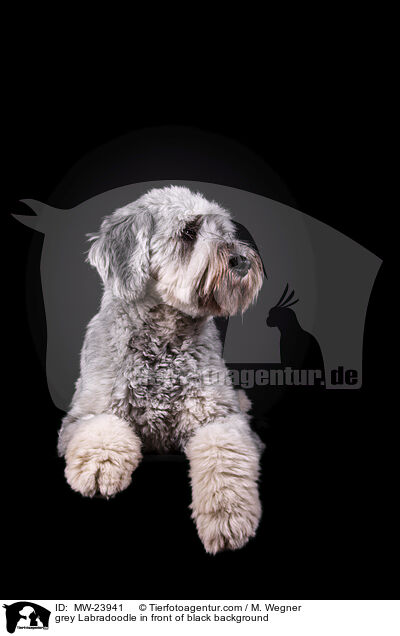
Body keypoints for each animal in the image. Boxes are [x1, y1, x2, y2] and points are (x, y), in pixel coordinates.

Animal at [58, 184, 266, 552]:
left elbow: (225, 454)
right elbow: (102, 425)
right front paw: (99, 466)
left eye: (226, 233)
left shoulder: (221, 418)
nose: (242, 259)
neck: (165, 340)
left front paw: (228, 514)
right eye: (189, 232)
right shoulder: (80, 417)